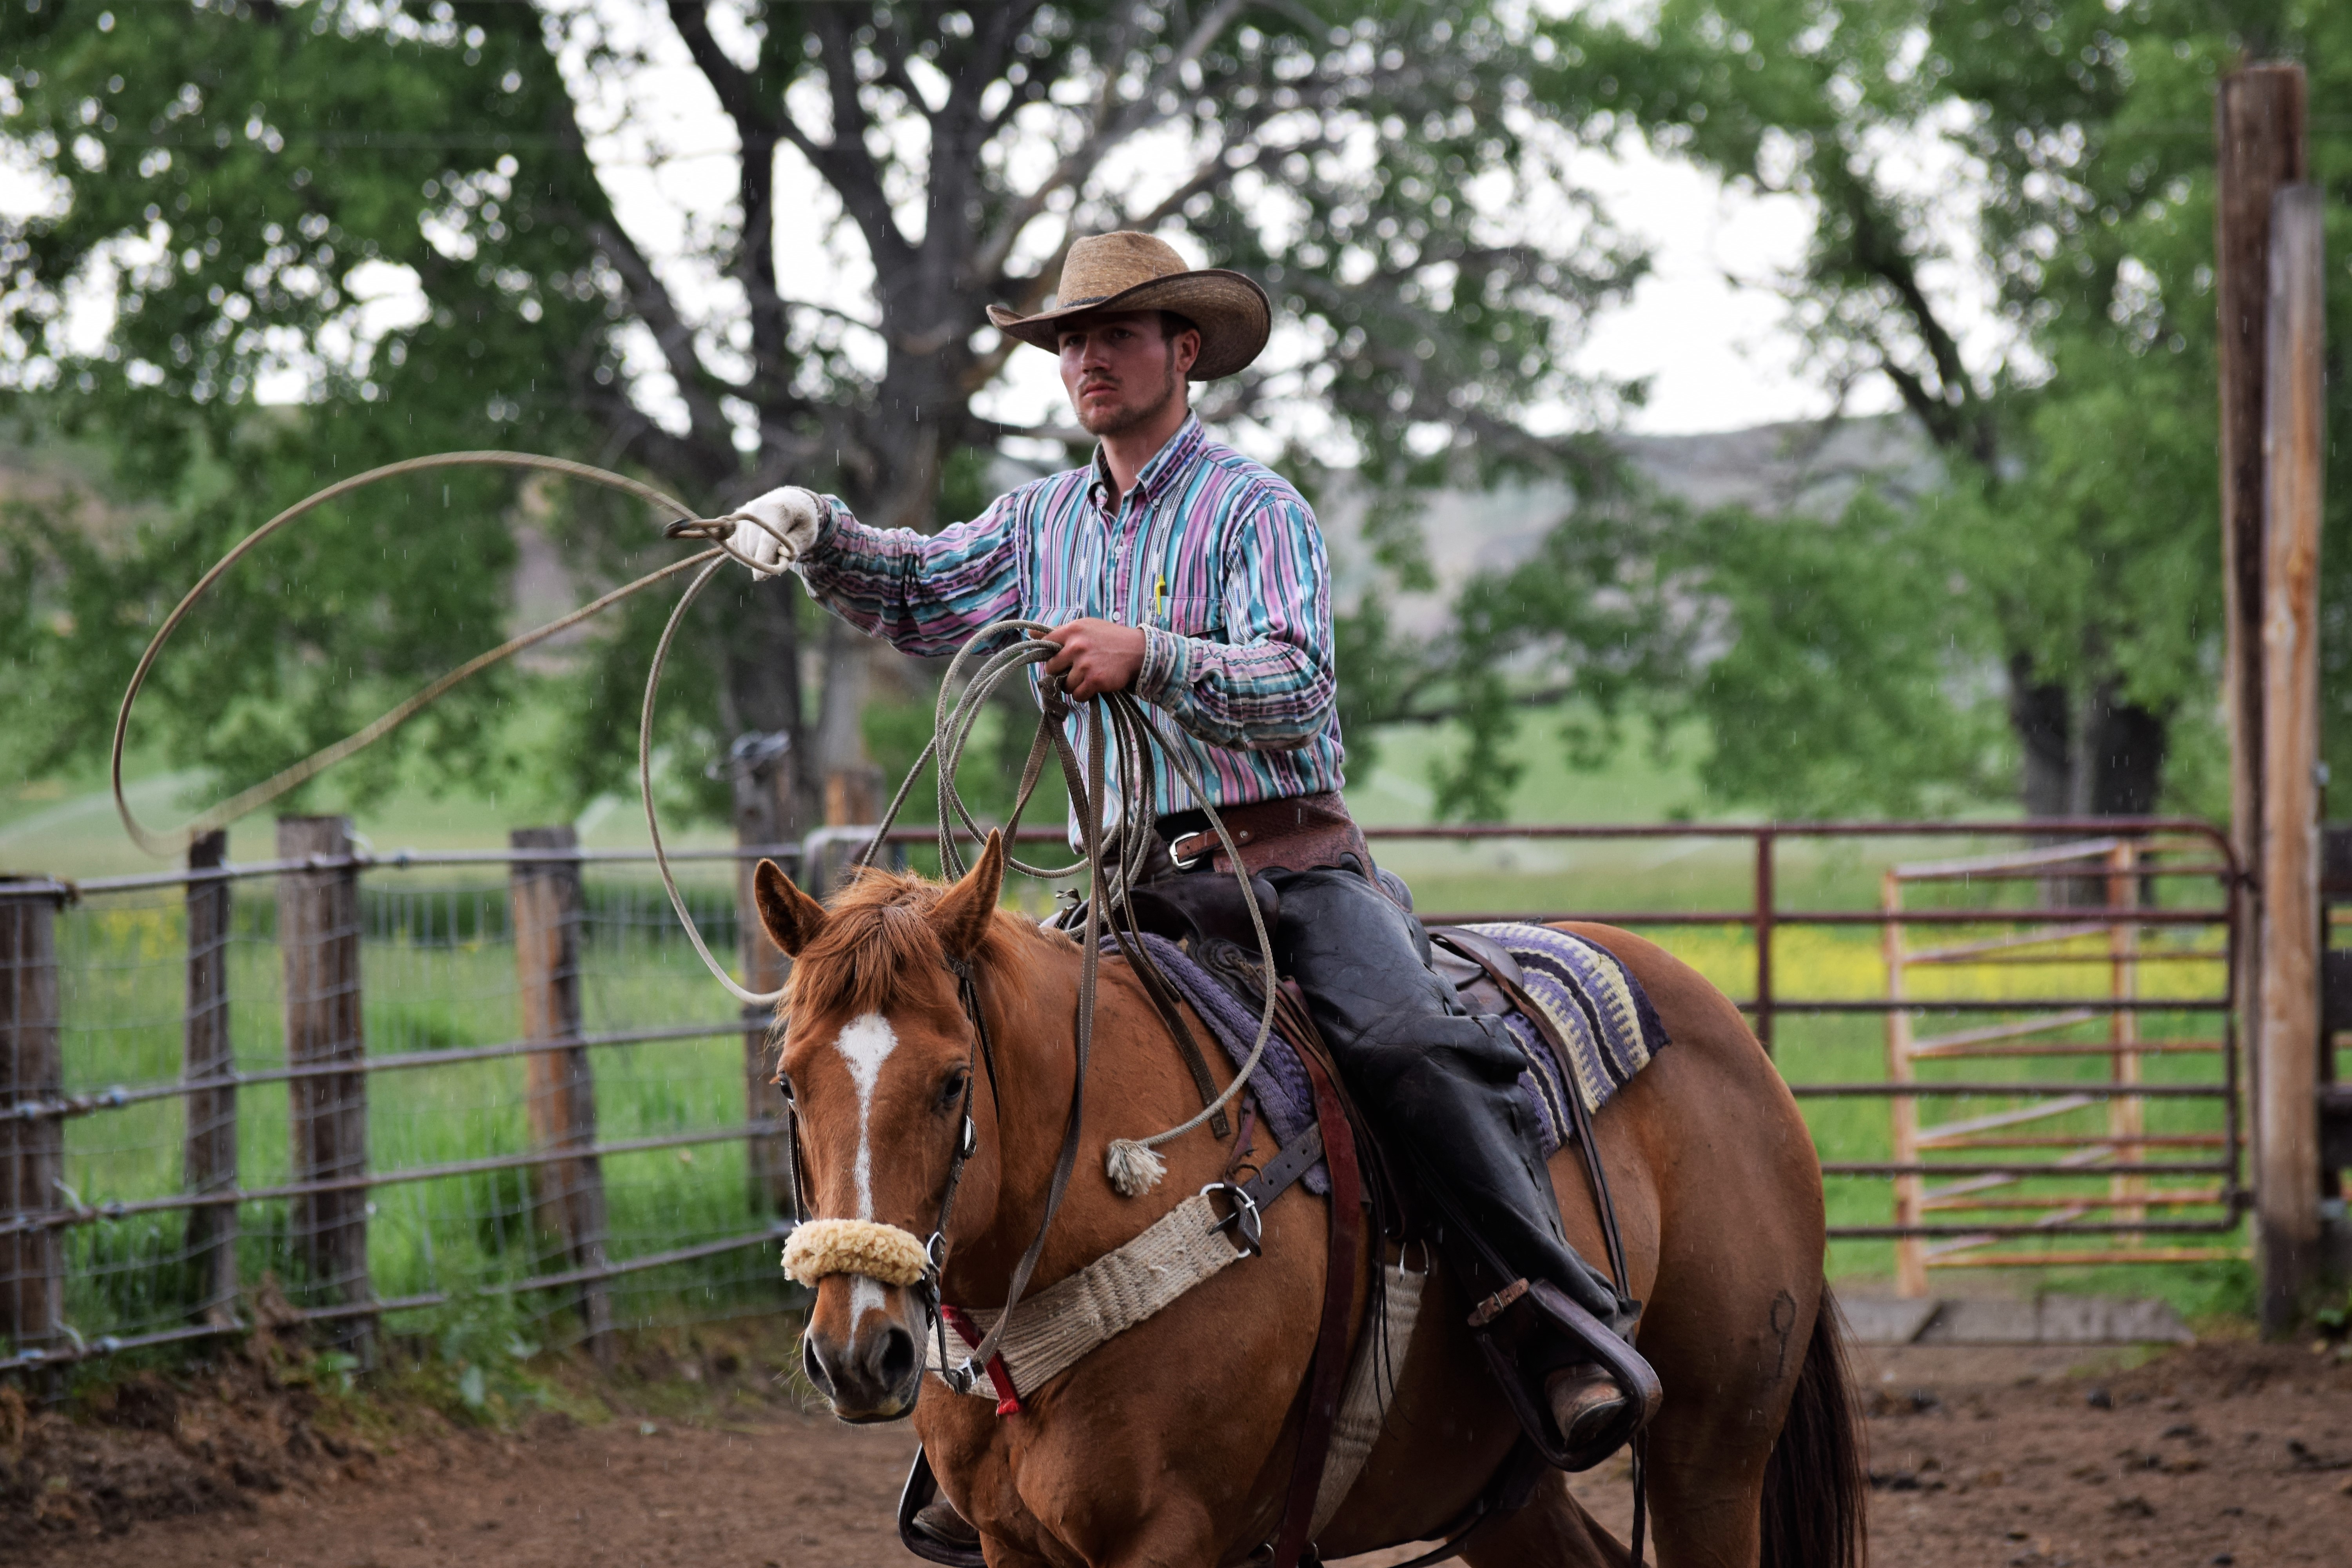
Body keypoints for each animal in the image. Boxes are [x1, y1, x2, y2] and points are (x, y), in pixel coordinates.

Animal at [753, 831, 1866, 1568]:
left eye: (952, 1081)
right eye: (789, 1083)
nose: (858, 1349)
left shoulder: (1169, 1535)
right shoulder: (1009, 1544)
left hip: (1713, 1453)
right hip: (1509, 1492)